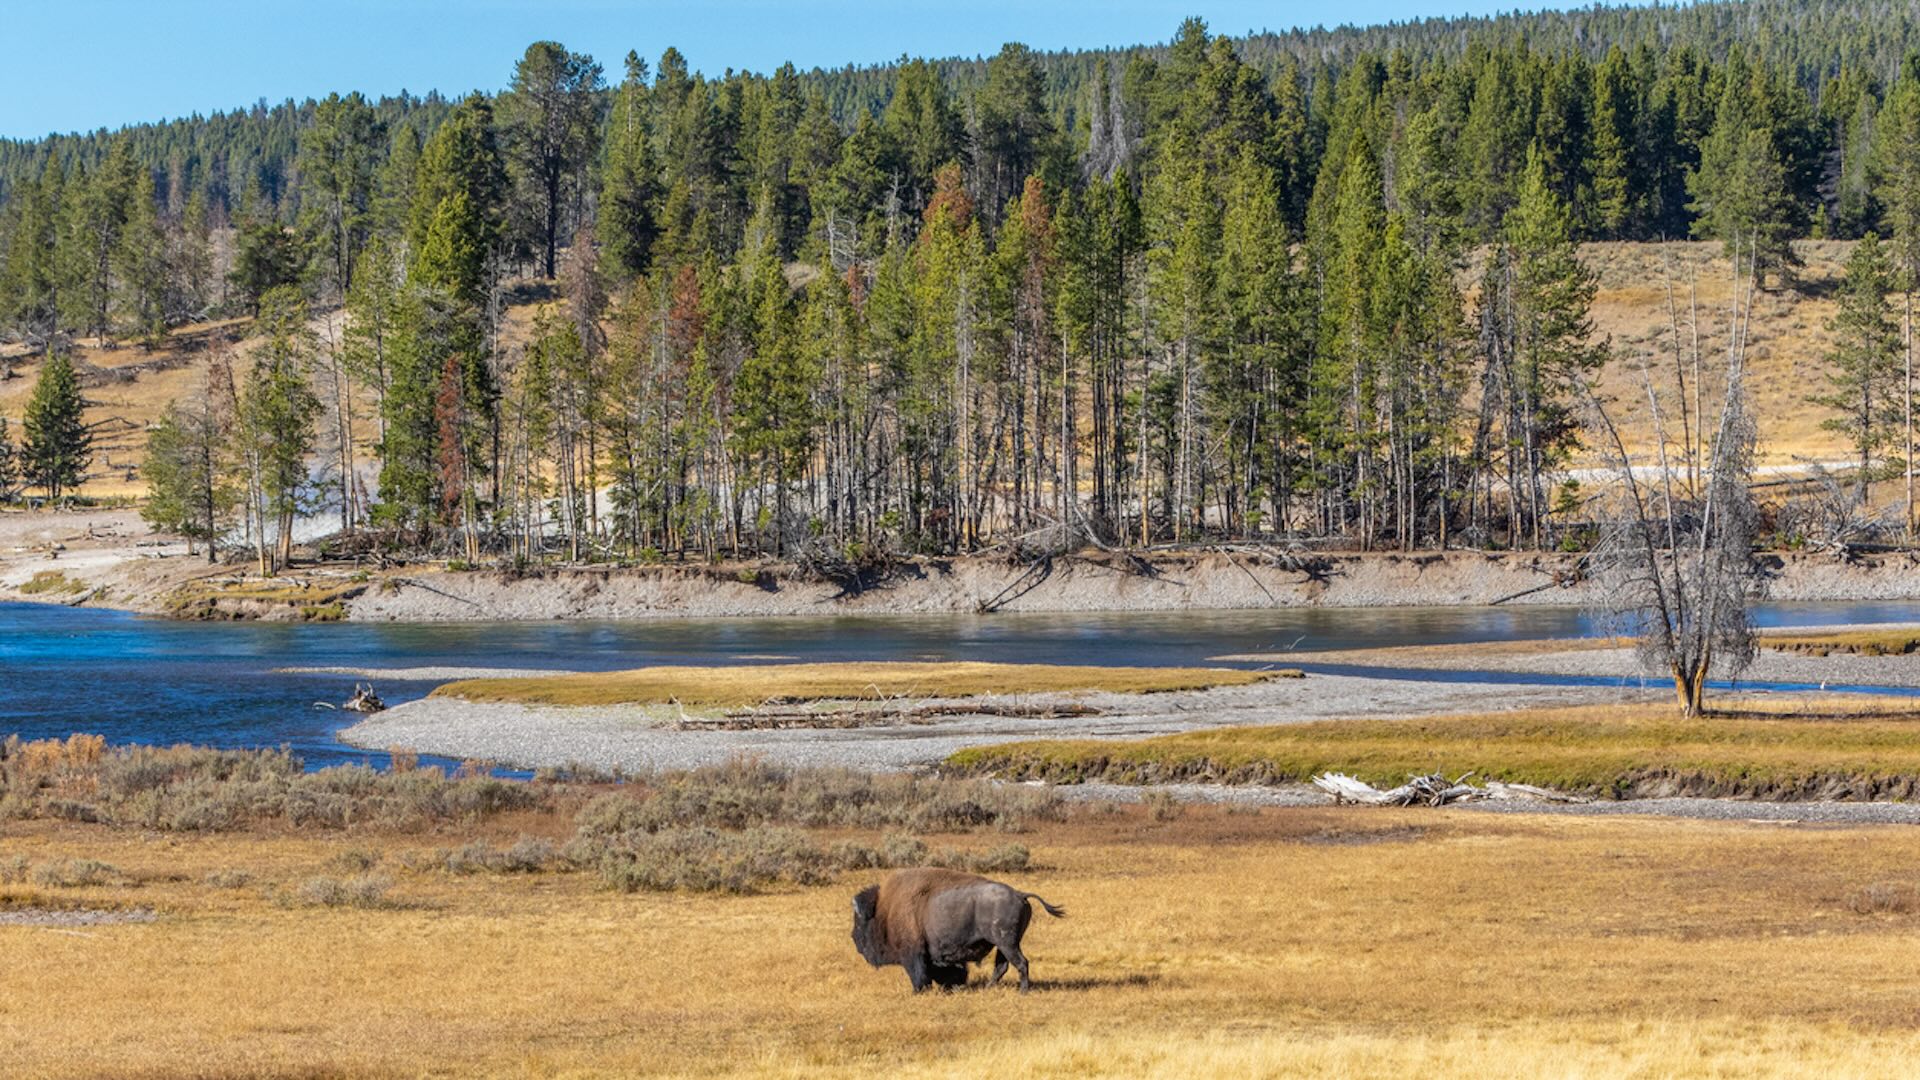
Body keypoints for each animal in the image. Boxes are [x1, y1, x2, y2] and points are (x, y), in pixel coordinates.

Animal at [852, 864, 1067, 991]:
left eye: (859, 923)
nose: (854, 939)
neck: (885, 909)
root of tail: (1020, 894)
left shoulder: (913, 953)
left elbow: (919, 973)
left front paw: (919, 991)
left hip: (1007, 943)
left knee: (1021, 963)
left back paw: (1023, 991)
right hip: (1005, 944)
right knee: (1002, 966)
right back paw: (988, 988)